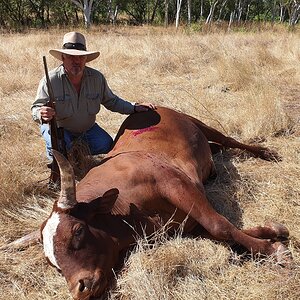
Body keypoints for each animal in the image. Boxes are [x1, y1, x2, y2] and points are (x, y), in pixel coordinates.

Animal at [40, 107, 288, 300]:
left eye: (78, 231)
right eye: (53, 262)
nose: (79, 289)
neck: (128, 211)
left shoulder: (177, 185)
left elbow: (220, 225)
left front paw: (272, 249)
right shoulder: (185, 225)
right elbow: (222, 230)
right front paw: (270, 232)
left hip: (197, 122)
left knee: (227, 140)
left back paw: (265, 152)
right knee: (217, 147)